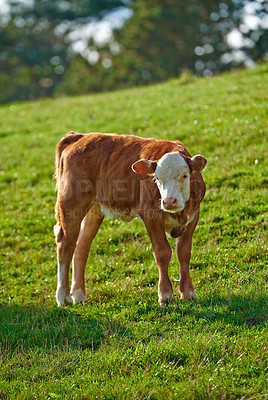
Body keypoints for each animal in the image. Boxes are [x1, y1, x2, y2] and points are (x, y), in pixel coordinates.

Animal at [53, 131, 206, 306]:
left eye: (185, 175)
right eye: (157, 179)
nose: (169, 201)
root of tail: (78, 136)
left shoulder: (194, 215)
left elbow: (184, 252)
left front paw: (188, 292)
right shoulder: (151, 216)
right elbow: (162, 252)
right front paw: (165, 295)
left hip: (94, 210)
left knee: (81, 247)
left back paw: (79, 295)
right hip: (71, 206)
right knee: (65, 245)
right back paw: (63, 297)